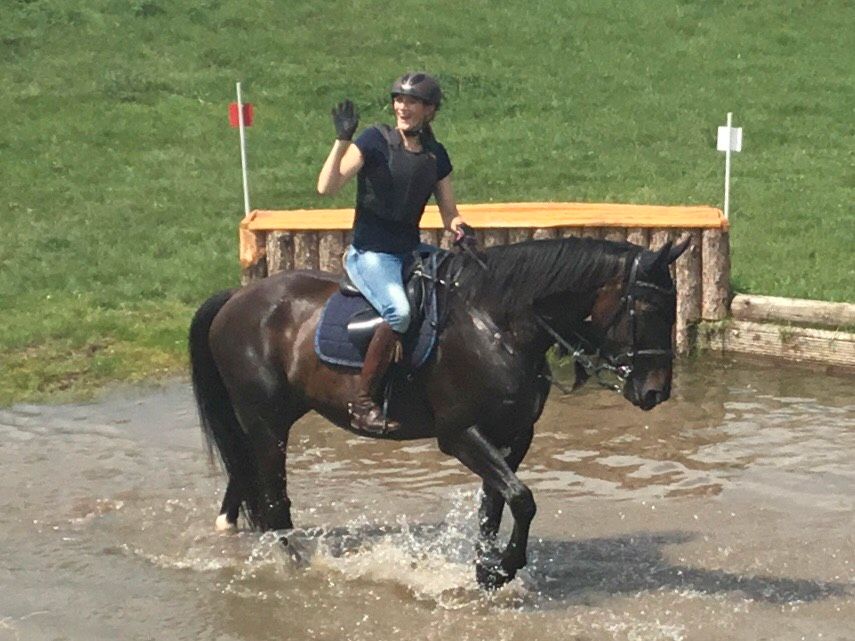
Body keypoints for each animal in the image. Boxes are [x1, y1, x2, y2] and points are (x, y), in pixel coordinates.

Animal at [191, 234, 692, 584]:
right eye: (648, 306)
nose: (656, 392)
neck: (498, 328)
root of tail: (237, 297)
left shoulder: (513, 436)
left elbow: (495, 505)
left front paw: (485, 566)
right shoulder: (460, 435)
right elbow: (522, 499)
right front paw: (501, 569)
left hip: (266, 421)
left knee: (247, 480)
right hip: (266, 421)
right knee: (274, 500)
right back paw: (302, 569)